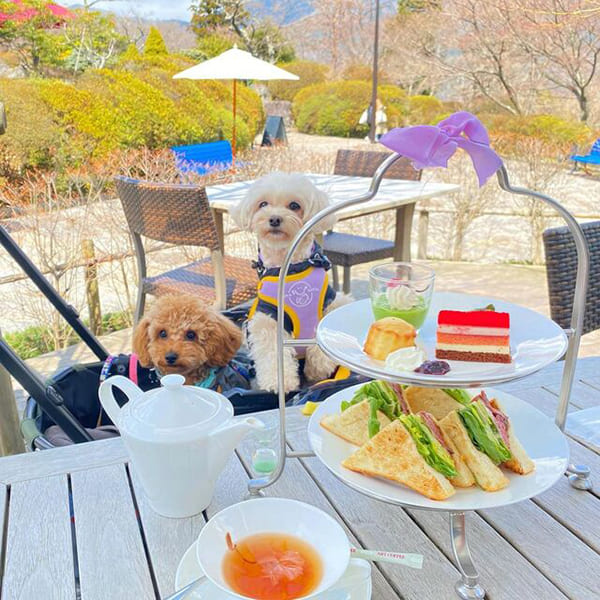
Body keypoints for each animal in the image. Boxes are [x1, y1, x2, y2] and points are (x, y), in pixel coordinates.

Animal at [231, 171, 351, 393]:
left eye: (294, 205)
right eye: (263, 204)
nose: (274, 218)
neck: (290, 267)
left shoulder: (332, 300)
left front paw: (318, 368)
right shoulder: (267, 318)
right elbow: (272, 350)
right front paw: (280, 382)